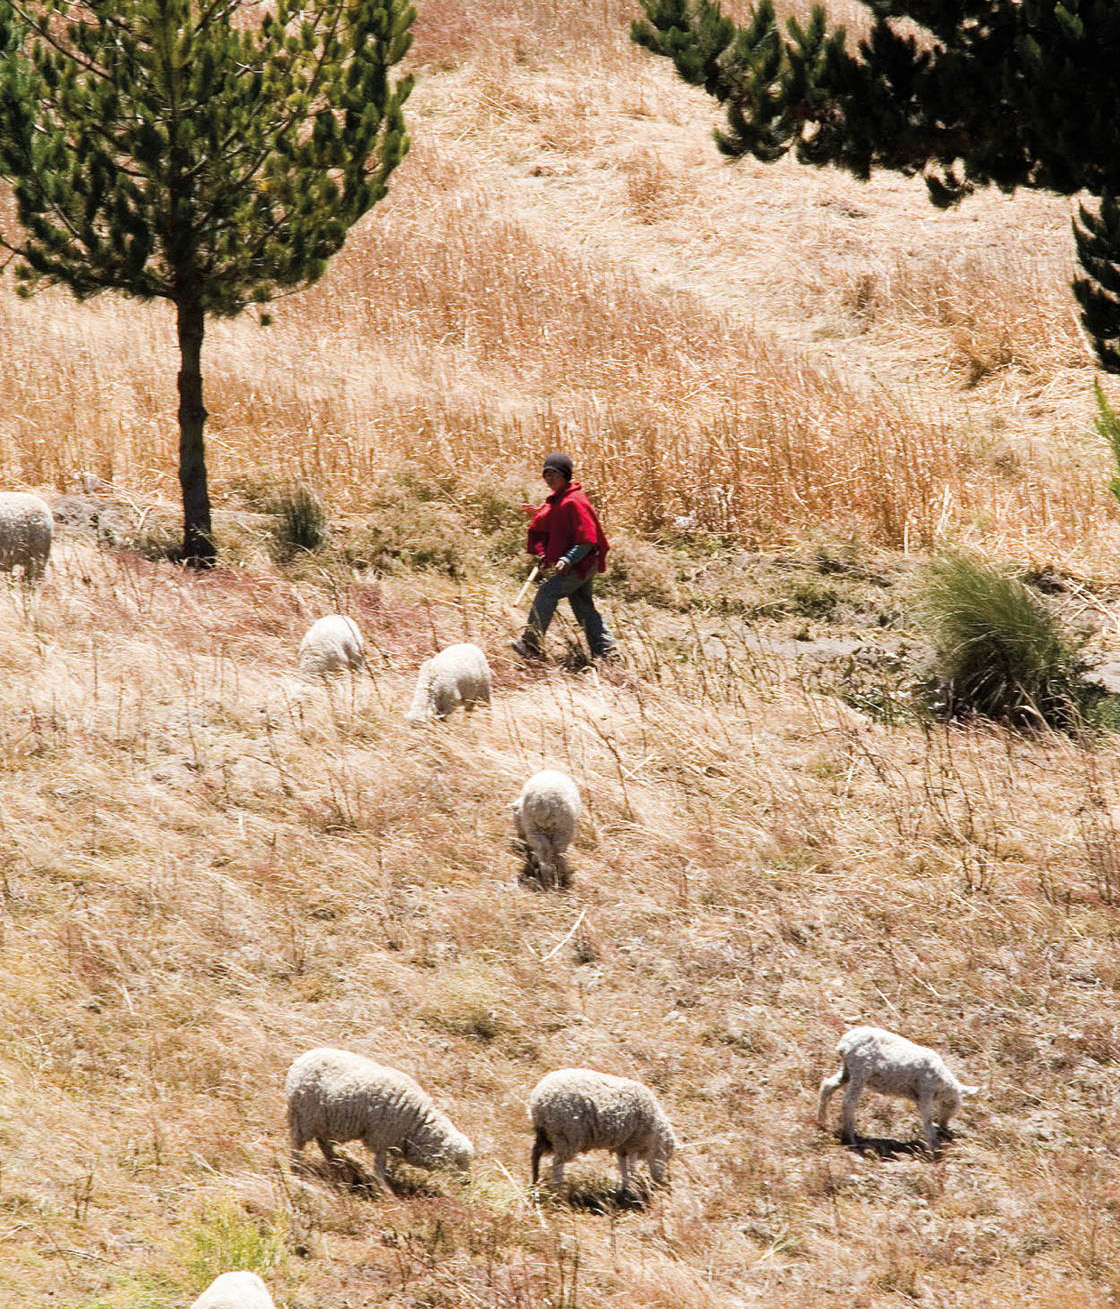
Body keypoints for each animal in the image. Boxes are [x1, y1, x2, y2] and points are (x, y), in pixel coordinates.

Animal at [283, 1047, 473, 1193]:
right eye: (458, 1162)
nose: (468, 1182)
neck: (417, 1124)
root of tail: (300, 1060)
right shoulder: (382, 1138)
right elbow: (380, 1166)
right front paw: (385, 1190)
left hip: (324, 1121)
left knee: (324, 1142)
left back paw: (338, 1164)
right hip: (305, 1116)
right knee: (299, 1143)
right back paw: (296, 1167)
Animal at [531, 1062, 680, 1199]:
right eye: (666, 1156)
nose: (659, 1182)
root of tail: (539, 1099)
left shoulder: (623, 1146)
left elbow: (623, 1166)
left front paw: (625, 1188)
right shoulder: (634, 1143)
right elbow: (632, 1168)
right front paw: (633, 1190)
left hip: (546, 1134)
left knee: (535, 1155)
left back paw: (535, 1184)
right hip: (567, 1136)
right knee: (557, 1163)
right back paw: (560, 1190)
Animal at [811, 1026, 978, 1151]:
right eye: (951, 1105)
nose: (944, 1127)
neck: (941, 1082)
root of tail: (844, 1044)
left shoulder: (920, 1097)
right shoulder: (925, 1093)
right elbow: (927, 1119)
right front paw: (933, 1146)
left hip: (848, 1071)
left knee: (828, 1085)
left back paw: (822, 1121)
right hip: (860, 1071)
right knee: (848, 1102)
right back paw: (851, 1138)